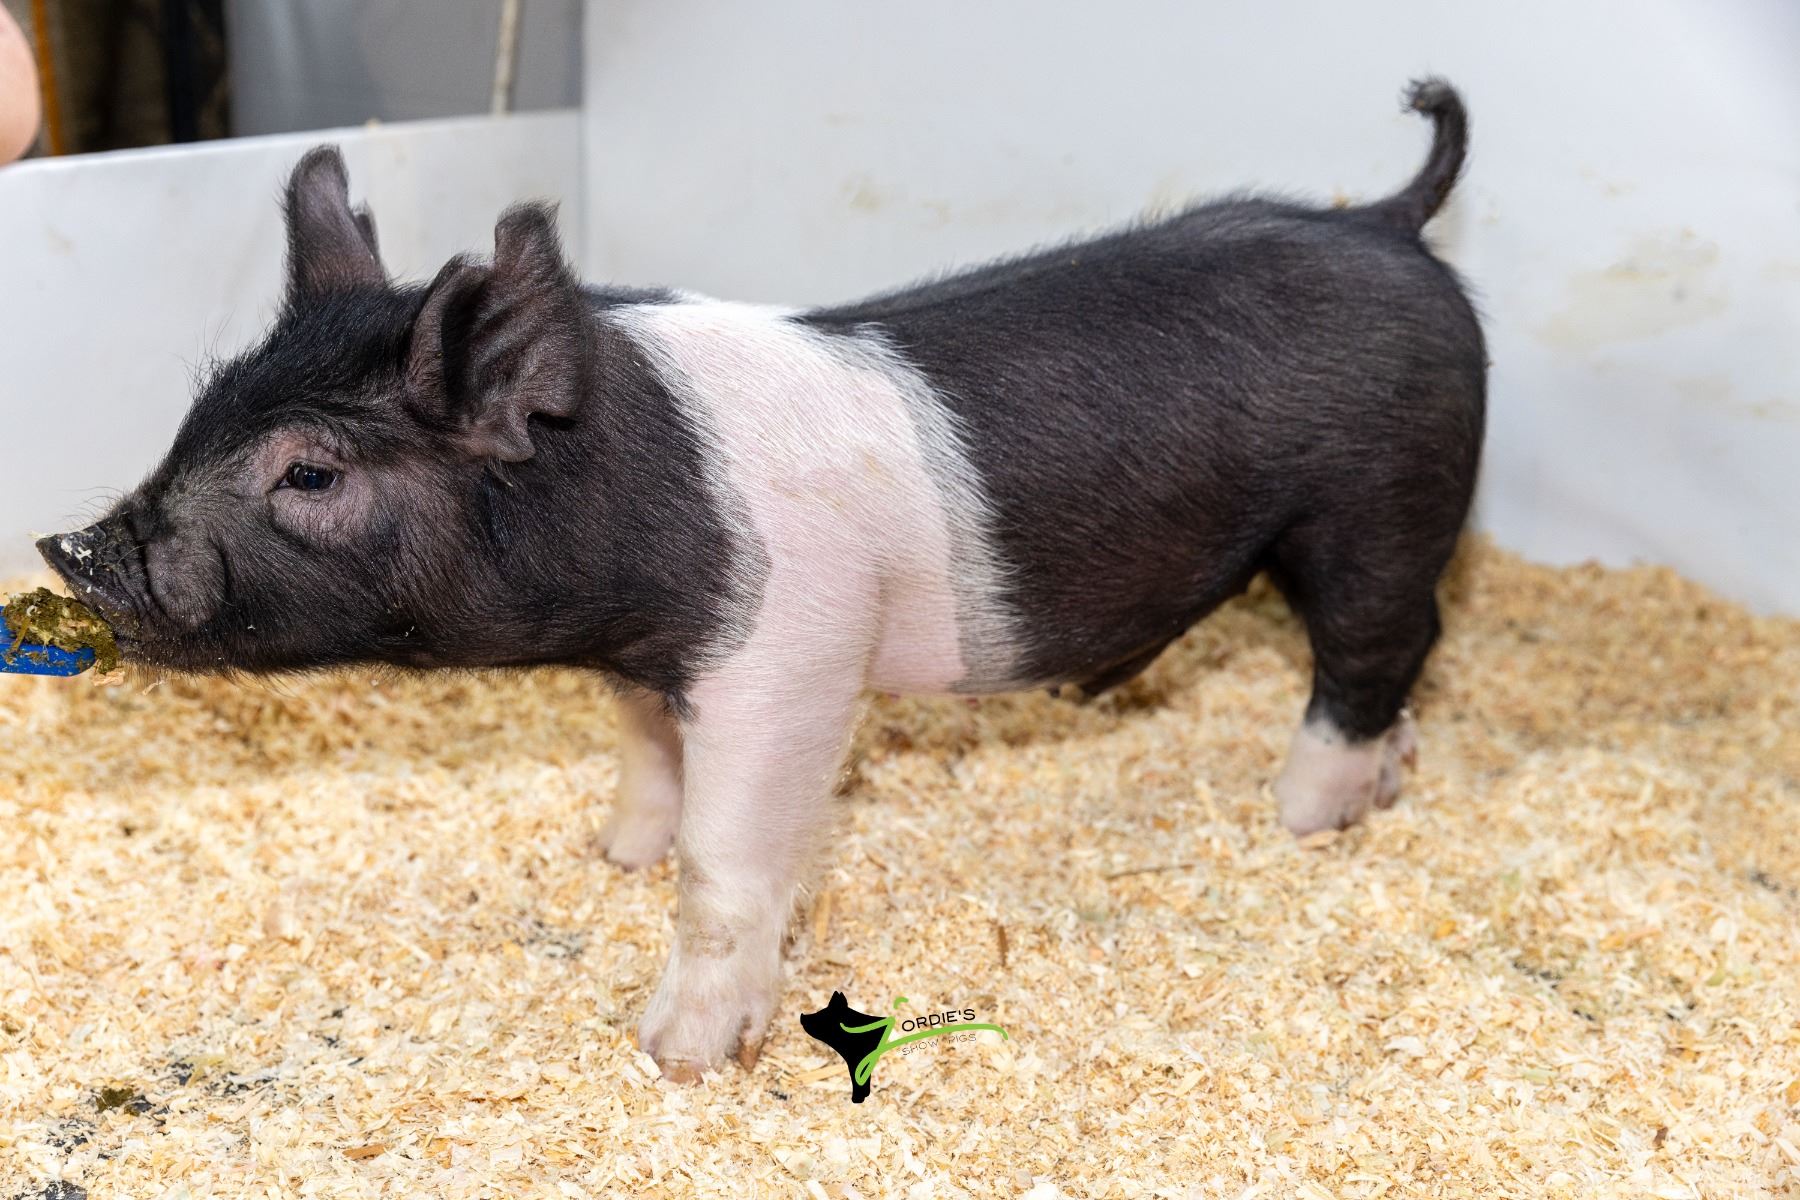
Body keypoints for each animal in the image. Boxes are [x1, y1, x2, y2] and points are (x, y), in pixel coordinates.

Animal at [41, 78, 1485, 1080]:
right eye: (202, 412)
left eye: (310, 474)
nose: (75, 550)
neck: (627, 521)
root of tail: (1393, 225)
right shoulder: (646, 663)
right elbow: (647, 763)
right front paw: (614, 851)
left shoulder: (787, 660)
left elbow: (728, 859)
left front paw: (678, 1055)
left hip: (1380, 503)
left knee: (1377, 644)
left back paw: (1304, 818)